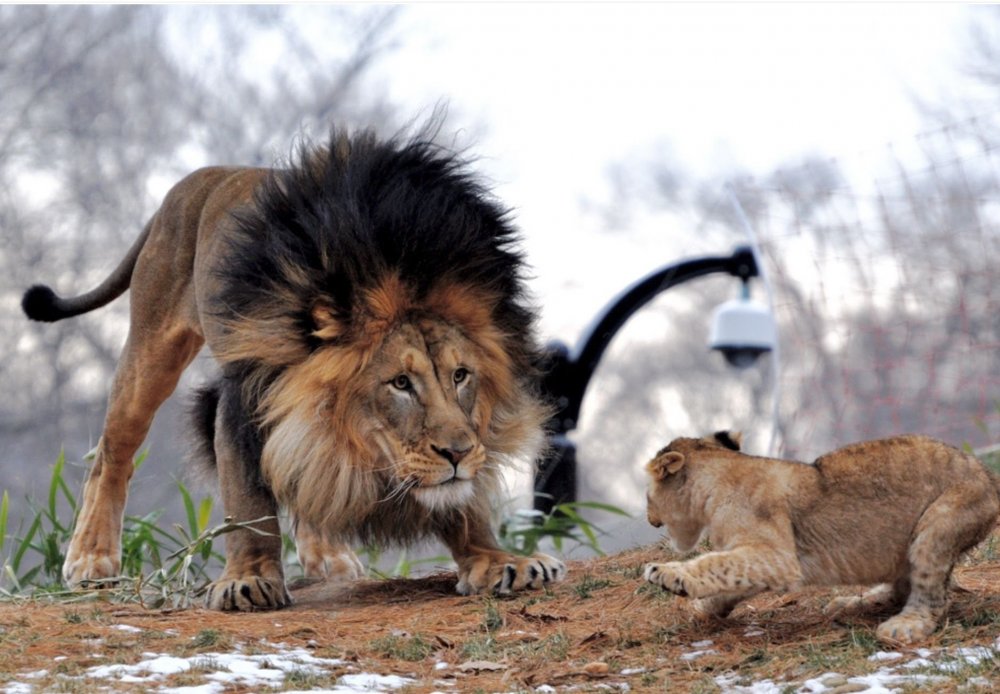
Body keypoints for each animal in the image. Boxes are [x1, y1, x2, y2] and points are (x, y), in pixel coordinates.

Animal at [23, 128, 568, 612]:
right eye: (400, 383)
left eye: (461, 376)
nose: (456, 453)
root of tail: (206, 176)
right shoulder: (244, 400)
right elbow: (249, 502)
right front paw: (248, 580)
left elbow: (461, 501)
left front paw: (498, 561)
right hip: (151, 348)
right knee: (112, 455)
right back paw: (91, 559)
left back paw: (328, 556)